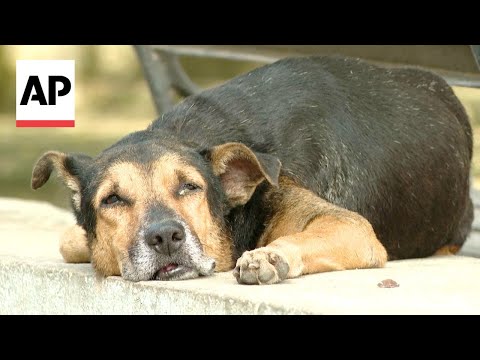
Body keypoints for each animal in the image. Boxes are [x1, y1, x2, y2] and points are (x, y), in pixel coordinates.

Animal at [31, 55, 472, 284]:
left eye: (189, 187)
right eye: (113, 200)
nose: (166, 237)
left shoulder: (353, 227)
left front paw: (270, 257)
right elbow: (71, 240)